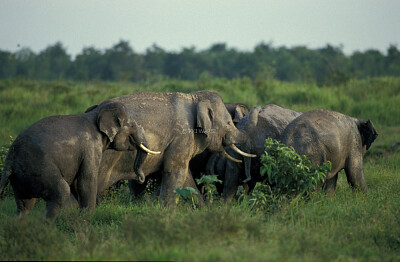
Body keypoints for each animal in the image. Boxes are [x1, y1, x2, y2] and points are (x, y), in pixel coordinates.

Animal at [0, 101, 159, 221]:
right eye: (132, 126)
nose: (140, 178)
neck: (95, 113)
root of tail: (11, 155)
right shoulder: (91, 148)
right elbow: (85, 180)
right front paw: (87, 218)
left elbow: (77, 184)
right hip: (38, 168)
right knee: (60, 192)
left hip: (21, 177)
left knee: (24, 206)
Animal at [93, 91, 256, 206]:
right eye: (229, 123)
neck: (194, 97)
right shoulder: (182, 137)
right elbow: (175, 171)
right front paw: (165, 211)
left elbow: (186, 177)